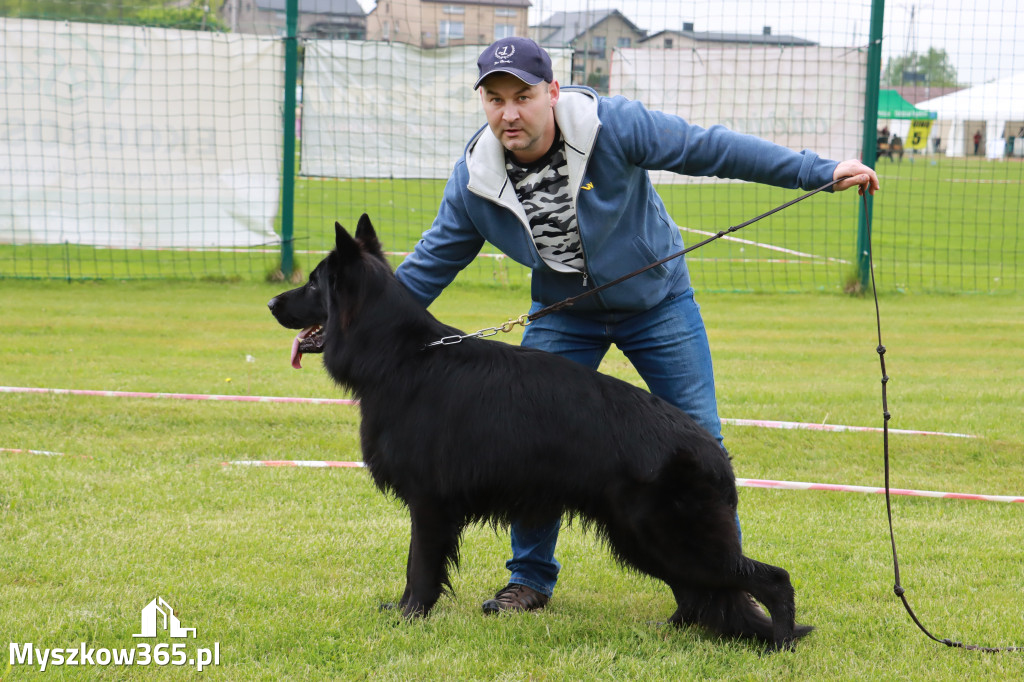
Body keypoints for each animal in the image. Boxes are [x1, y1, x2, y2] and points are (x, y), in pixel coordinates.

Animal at [268, 216, 811, 647]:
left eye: (313, 286)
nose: (272, 302)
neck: (400, 356)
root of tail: (714, 452)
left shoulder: (429, 506)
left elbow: (419, 568)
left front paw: (409, 618)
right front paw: (405, 613)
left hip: (666, 537)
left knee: (773, 580)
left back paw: (780, 644)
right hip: (646, 540)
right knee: (703, 592)